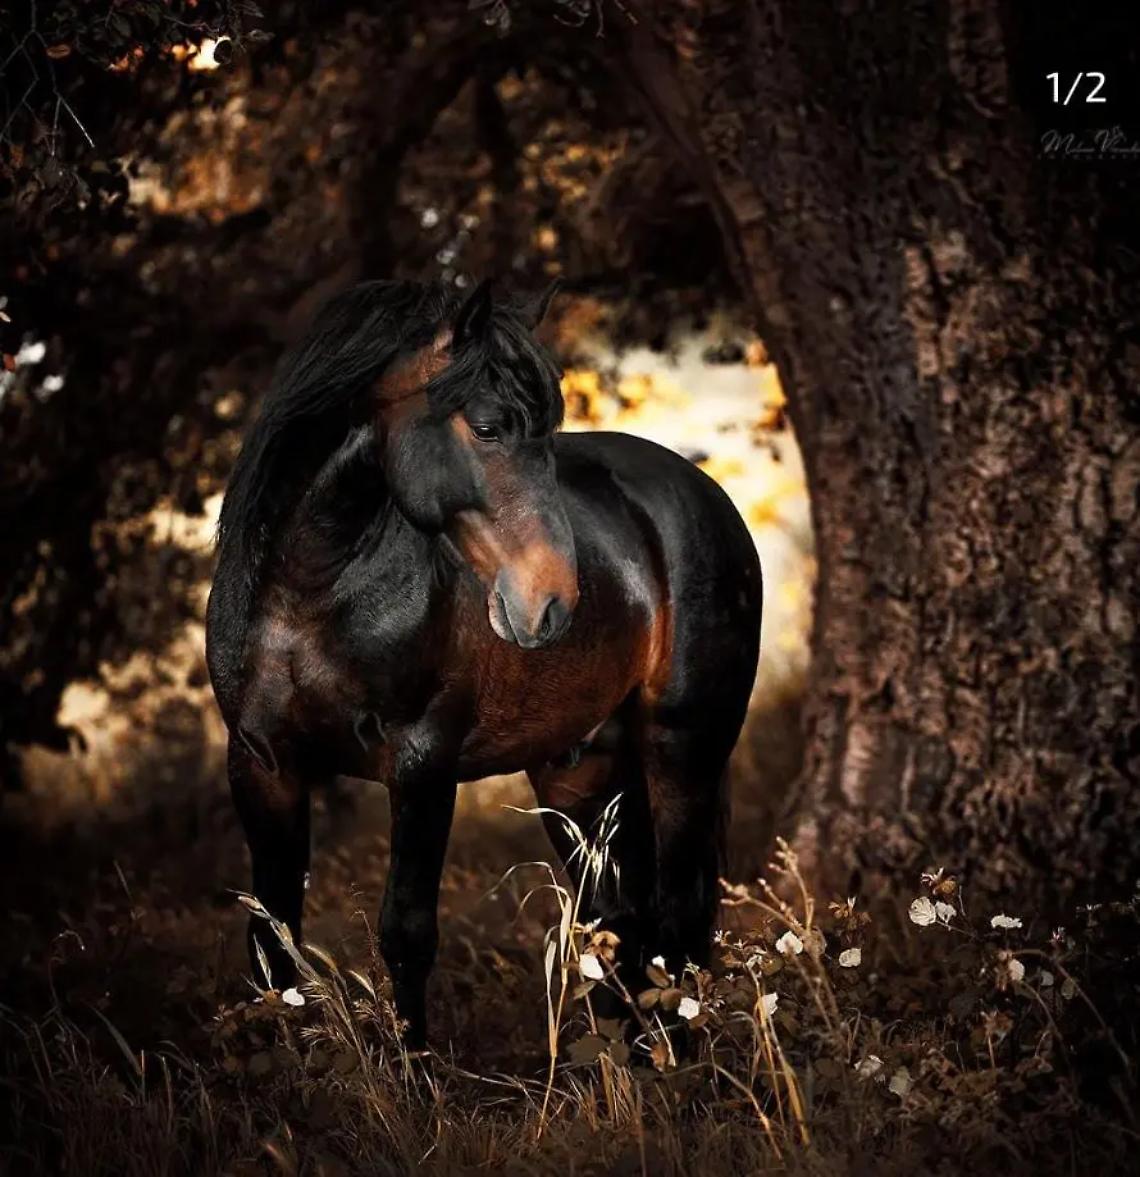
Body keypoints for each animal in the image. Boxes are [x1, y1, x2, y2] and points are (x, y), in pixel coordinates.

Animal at [206, 277, 762, 1045]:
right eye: (490, 427)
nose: (553, 600)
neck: (308, 592)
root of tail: (707, 496)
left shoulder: (422, 764)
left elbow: (406, 933)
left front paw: (413, 1068)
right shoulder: (262, 763)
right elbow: (271, 939)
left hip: (682, 750)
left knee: (677, 918)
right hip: (579, 774)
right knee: (620, 922)